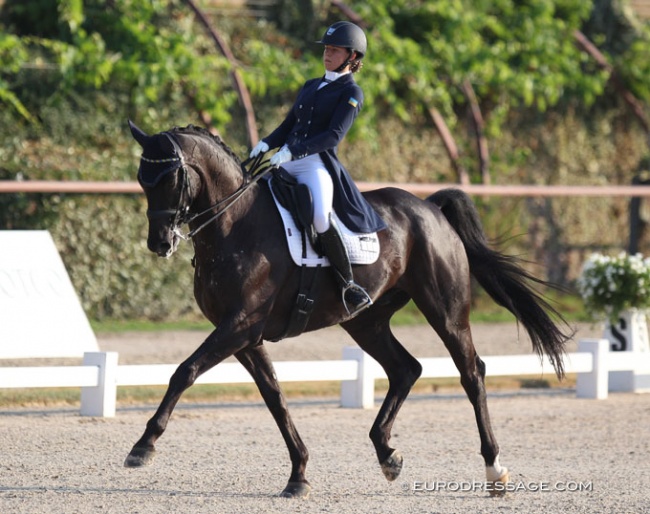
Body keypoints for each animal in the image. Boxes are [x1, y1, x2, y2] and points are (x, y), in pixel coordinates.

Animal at [124, 120, 568, 496]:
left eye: (170, 177)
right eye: (142, 179)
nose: (160, 242)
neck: (236, 225)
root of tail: (429, 208)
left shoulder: (240, 327)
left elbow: (184, 372)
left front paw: (142, 447)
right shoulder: (245, 336)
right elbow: (275, 397)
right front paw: (299, 475)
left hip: (445, 311)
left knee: (471, 372)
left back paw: (494, 470)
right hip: (365, 321)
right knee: (406, 369)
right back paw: (387, 454)